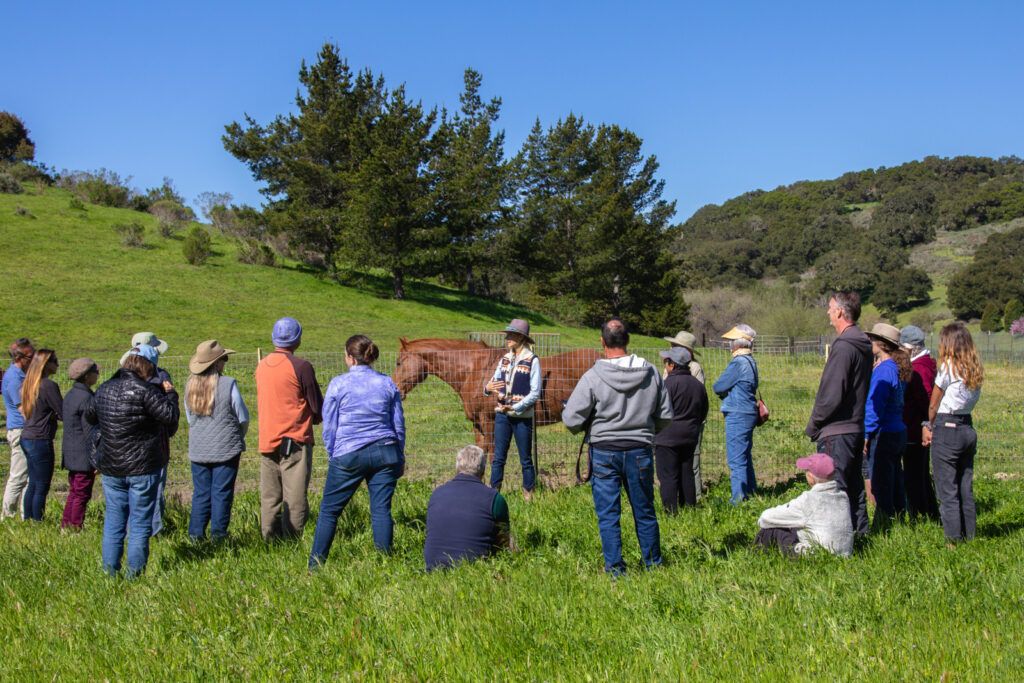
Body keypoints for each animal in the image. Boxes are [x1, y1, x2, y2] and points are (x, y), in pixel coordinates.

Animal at [389, 337, 598, 456]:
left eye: (399, 362)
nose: (396, 388)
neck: (476, 370)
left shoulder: (489, 421)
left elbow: (491, 454)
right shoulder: (477, 423)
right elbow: (479, 452)